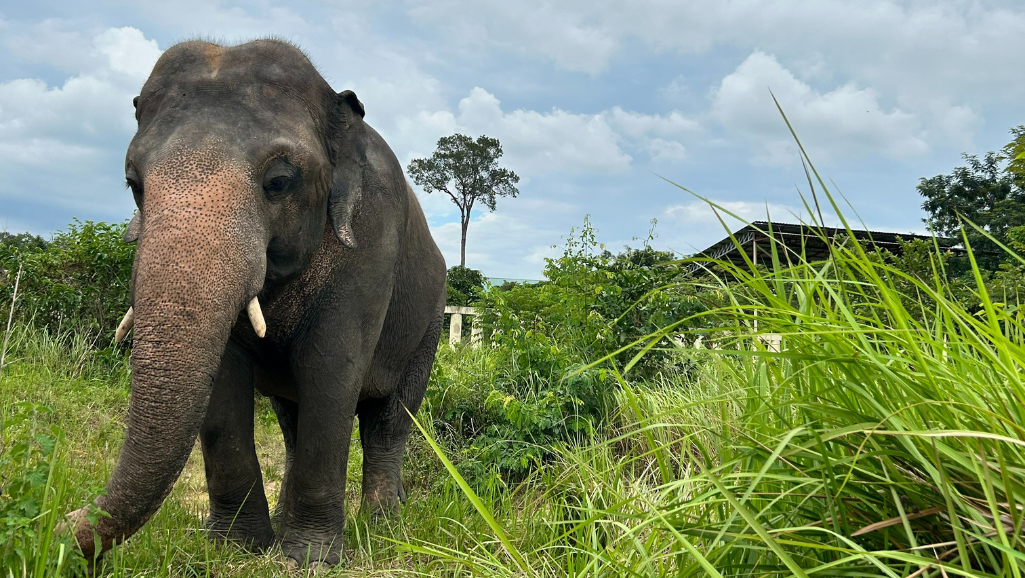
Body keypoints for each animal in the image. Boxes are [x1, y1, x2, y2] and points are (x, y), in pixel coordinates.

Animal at [68, 39, 444, 569]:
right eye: (134, 185)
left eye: (280, 181)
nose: (64, 520)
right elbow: (225, 379)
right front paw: (237, 549)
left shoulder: (373, 243)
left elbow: (331, 368)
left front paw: (310, 560)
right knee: (291, 419)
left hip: (429, 323)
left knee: (389, 419)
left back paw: (383, 525)